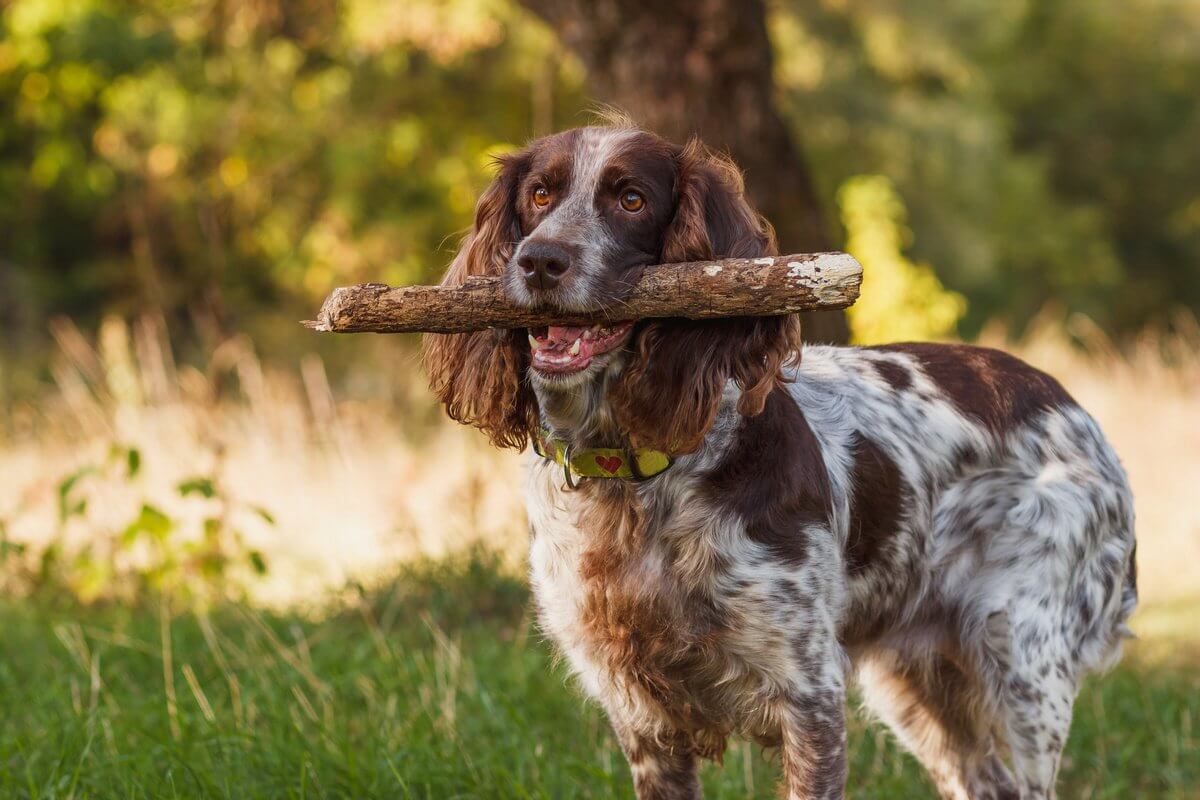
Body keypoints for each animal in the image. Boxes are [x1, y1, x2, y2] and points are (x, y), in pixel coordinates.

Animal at [427, 125, 1137, 800]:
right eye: (539, 196)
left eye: (631, 200)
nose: (540, 260)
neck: (636, 481)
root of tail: (1073, 407)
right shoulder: (641, 718)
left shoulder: (809, 695)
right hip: (919, 685)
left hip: (1023, 661)